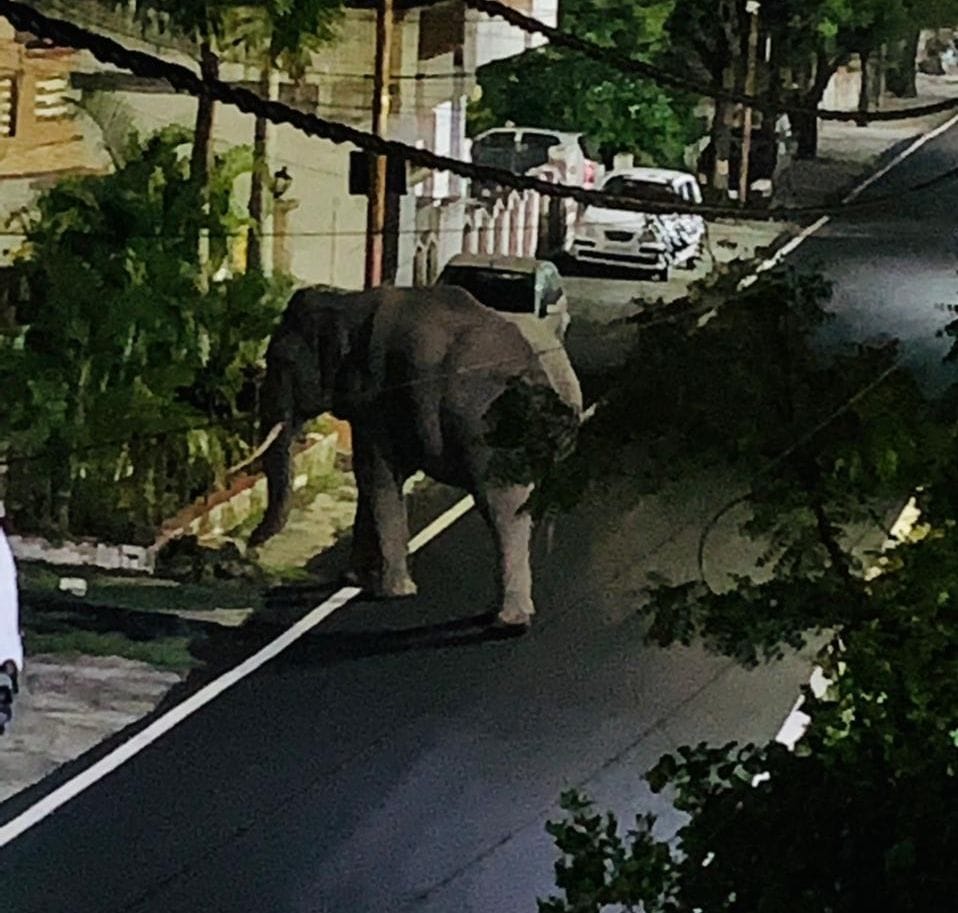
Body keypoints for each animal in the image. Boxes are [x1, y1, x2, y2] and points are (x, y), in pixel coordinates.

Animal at [248, 283, 583, 629]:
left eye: (279, 361)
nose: (250, 545)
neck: (347, 300)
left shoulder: (374, 399)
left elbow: (374, 475)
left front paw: (391, 592)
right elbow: (376, 480)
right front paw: (354, 578)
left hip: (493, 433)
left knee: (502, 507)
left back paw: (508, 620)